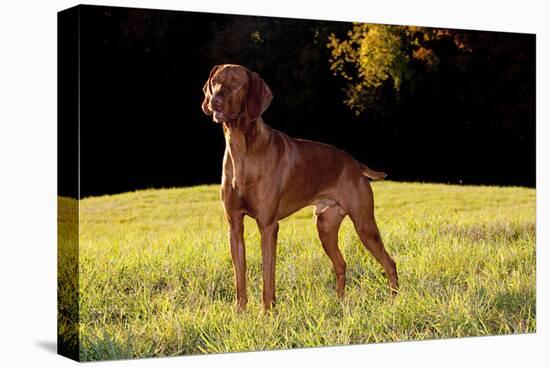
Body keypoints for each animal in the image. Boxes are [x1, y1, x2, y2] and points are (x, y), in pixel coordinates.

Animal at [203, 64, 402, 312]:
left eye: (237, 83)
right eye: (215, 81)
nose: (216, 99)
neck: (241, 149)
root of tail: (355, 164)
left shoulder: (268, 226)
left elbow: (268, 278)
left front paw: (267, 313)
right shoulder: (235, 227)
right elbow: (240, 278)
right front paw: (240, 313)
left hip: (364, 225)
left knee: (389, 262)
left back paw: (393, 301)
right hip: (325, 227)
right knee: (341, 264)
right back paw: (339, 303)